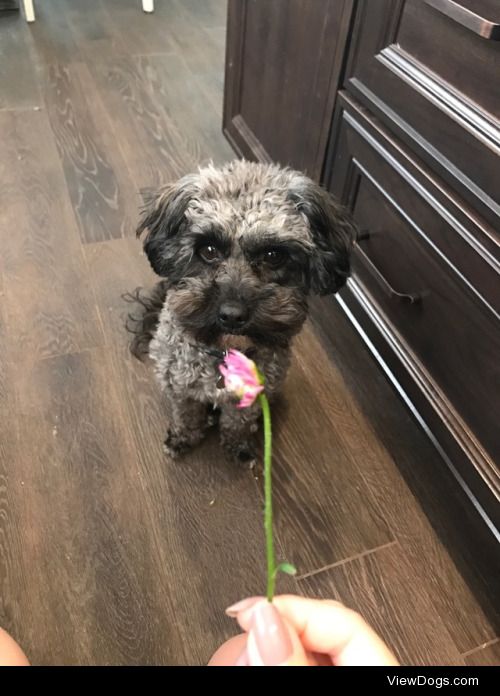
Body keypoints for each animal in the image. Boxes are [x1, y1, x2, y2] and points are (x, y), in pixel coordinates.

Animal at [127, 160, 354, 464]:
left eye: (273, 255)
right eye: (208, 250)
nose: (232, 316)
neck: (225, 354)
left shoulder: (254, 395)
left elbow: (238, 422)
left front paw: (239, 445)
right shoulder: (179, 386)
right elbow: (186, 415)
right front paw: (182, 437)